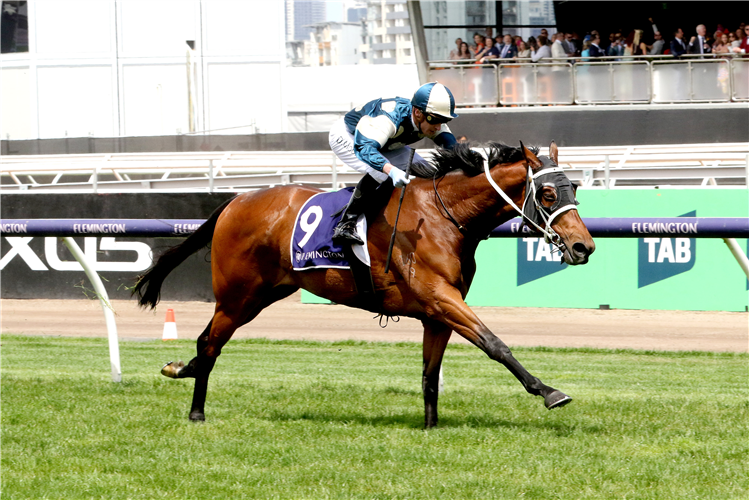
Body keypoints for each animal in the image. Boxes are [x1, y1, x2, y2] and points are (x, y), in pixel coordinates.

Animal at [133, 143, 592, 428]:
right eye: (548, 193)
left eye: (574, 189)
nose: (583, 246)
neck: (444, 216)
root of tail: (235, 200)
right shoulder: (441, 298)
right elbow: (495, 343)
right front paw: (549, 391)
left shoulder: (437, 312)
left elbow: (430, 373)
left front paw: (431, 427)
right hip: (238, 295)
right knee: (210, 343)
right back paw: (196, 411)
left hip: (262, 293)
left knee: (205, 341)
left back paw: (181, 369)